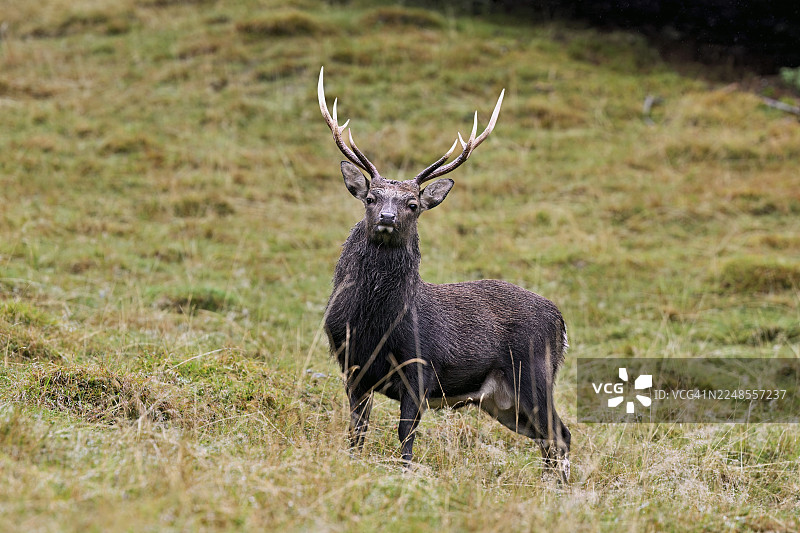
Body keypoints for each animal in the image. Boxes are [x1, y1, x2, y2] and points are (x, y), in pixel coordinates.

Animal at [318, 67, 571, 482]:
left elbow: (406, 436)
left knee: (561, 435)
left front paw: (404, 475)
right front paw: (352, 464)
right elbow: (358, 430)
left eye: (413, 204)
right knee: (548, 440)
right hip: (503, 402)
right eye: (371, 197)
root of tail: (561, 322)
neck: (375, 325)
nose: (387, 217)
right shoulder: (352, 368)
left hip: (534, 373)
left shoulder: (421, 368)